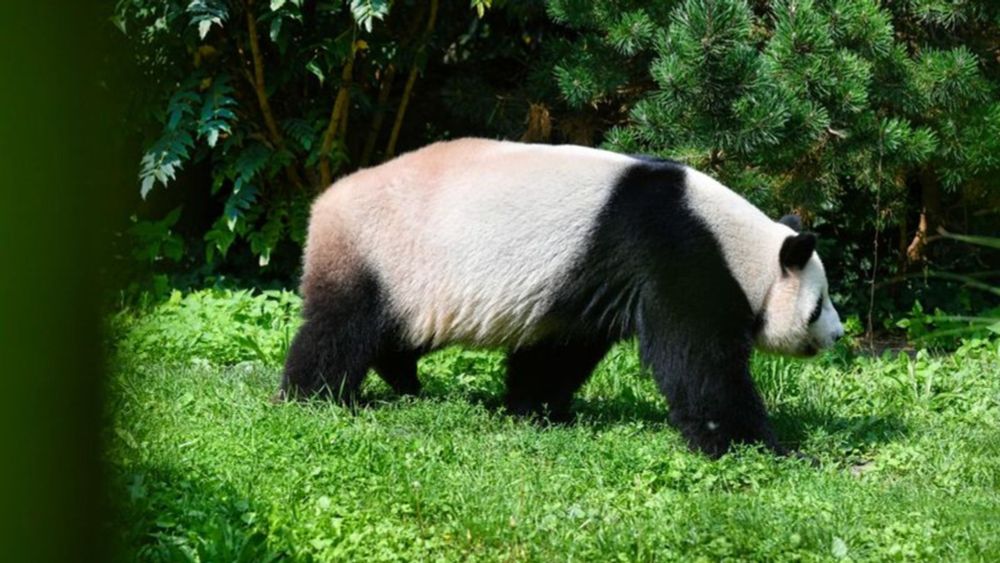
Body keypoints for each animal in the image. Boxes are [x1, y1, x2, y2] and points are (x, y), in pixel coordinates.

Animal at [282, 138, 844, 458]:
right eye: (818, 305)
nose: (838, 335)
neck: (740, 244)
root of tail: (324, 202)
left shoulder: (587, 279)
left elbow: (561, 348)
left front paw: (535, 409)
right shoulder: (676, 253)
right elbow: (698, 361)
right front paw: (766, 448)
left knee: (398, 333)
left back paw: (403, 380)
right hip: (381, 251)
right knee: (341, 328)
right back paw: (313, 397)